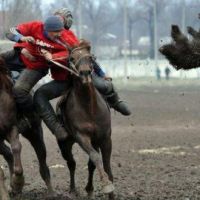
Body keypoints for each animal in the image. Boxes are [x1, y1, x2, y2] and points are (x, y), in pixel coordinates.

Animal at [0, 57, 53, 198]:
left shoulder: (12, 127)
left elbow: (16, 147)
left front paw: (18, 183)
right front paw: (14, 186)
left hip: (34, 133)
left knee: (43, 164)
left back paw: (51, 193)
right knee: (8, 155)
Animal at [57, 39, 115, 199]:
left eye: (90, 57)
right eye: (72, 58)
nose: (85, 73)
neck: (89, 108)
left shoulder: (105, 137)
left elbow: (105, 163)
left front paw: (111, 191)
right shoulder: (82, 136)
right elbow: (95, 157)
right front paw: (106, 185)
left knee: (89, 165)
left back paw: (89, 189)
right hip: (64, 143)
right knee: (71, 163)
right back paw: (73, 190)